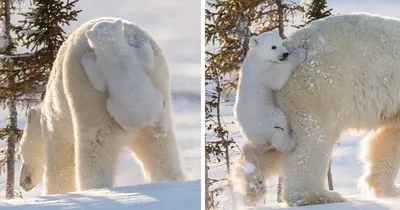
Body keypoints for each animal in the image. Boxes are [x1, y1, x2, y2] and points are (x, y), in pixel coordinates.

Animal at [18, 18, 186, 195]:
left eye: (19, 153)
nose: (23, 182)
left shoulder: (56, 124)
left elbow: (61, 164)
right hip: (158, 87)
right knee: (161, 150)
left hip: (89, 97)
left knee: (95, 147)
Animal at [233, 13, 400, 207]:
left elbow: (388, 138)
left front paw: (388, 189)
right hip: (319, 88)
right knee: (313, 140)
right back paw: (320, 196)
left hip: (276, 103)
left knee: (273, 142)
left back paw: (252, 183)